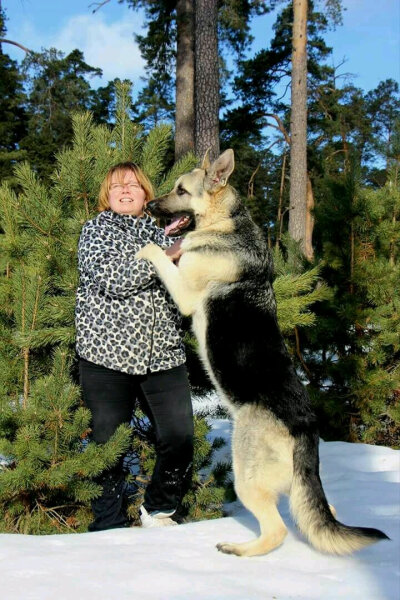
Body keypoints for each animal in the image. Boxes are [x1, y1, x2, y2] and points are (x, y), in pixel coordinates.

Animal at [136, 150, 390, 556]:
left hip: (246, 475)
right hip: (296, 490)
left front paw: (145, 248)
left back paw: (238, 549)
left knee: (276, 531)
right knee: (322, 514)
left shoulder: (186, 294)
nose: (147, 206)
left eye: (180, 190)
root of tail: (306, 429)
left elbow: (161, 255)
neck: (227, 225)